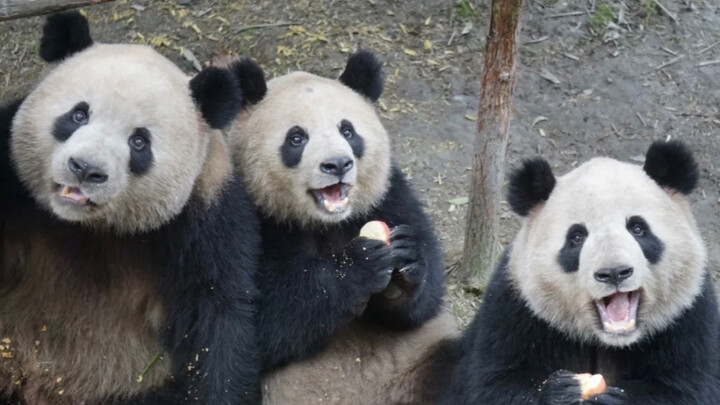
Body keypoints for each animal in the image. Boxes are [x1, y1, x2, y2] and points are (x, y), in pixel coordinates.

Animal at [0, 12, 261, 405]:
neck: (87, 226)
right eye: (78, 115)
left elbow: (219, 314)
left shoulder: (205, 215)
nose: (85, 169)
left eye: (139, 141)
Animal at [222, 51, 459, 405]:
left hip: (419, 360)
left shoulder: (388, 196)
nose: (337, 164)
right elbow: (251, 321)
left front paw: (408, 261)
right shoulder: (246, 215)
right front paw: (358, 266)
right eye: (297, 138)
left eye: (348, 131)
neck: (324, 223)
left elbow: (422, 305)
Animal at [441, 141, 720, 404]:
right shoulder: (514, 309)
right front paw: (561, 391)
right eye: (576, 237)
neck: (609, 340)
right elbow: (489, 383)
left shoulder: (689, 316)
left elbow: (689, 388)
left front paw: (613, 398)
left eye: (638, 228)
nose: (614, 272)